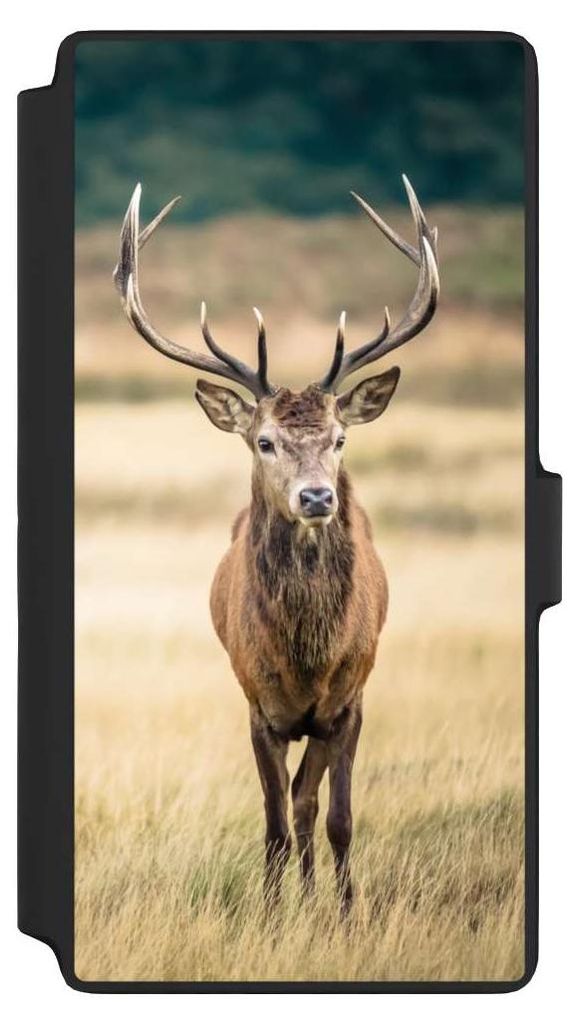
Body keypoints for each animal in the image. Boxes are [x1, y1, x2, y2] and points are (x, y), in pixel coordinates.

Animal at [114, 176, 439, 915]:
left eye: (340, 438)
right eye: (264, 441)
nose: (317, 497)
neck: (305, 659)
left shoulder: (348, 701)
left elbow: (335, 816)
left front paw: (345, 915)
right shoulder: (257, 705)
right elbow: (272, 824)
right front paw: (268, 915)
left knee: (308, 802)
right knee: (291, 806)